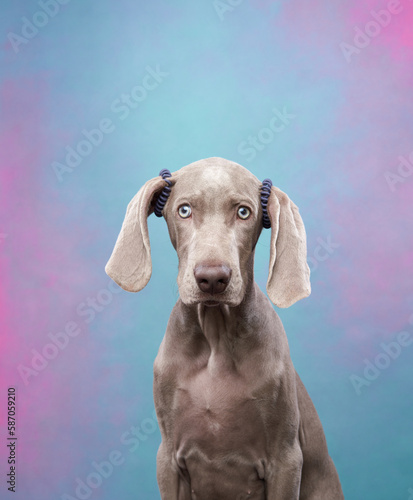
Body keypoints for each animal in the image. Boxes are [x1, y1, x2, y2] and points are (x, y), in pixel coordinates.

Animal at [104, 157, 342, 500]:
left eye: (244, 212)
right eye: (184, 210)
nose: (212, 278)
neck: (216, 339)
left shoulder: (285, 459)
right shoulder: (168, 459)